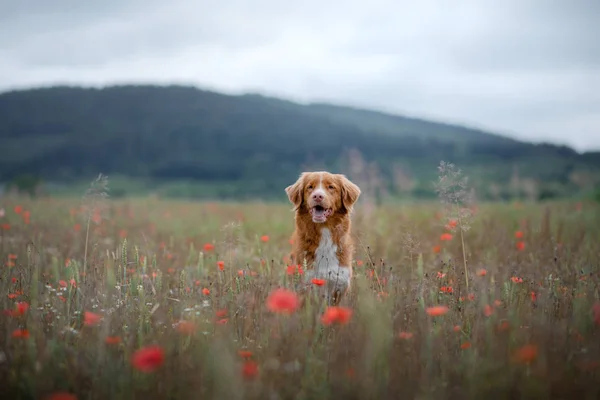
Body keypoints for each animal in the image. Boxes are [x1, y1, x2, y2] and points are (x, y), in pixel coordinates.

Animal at [286, 170, 360, 304]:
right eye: (310, 187)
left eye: (331, 187)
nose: (317, 196)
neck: (324, 234)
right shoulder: (305, 285)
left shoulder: (340, 286)